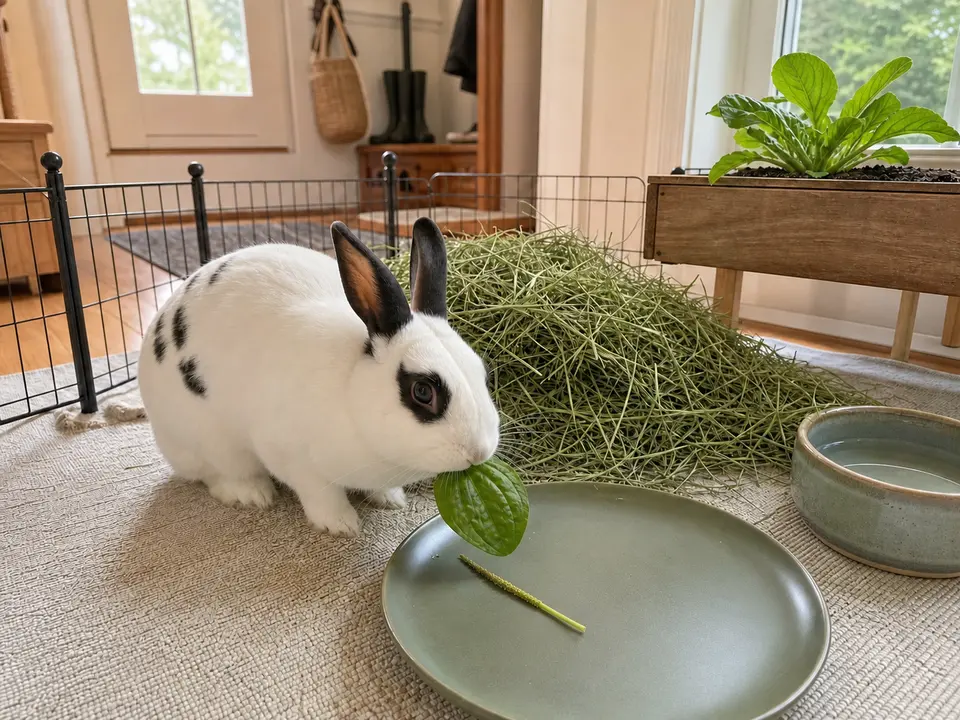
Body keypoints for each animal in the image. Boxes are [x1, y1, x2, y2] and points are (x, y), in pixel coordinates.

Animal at [137, 217, 500, 536]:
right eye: (422, 391)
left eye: (483, 374)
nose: (478, 453)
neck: (352, 395)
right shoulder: (292, 457)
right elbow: (321, 494)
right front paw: (341, 524)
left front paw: (391, 500)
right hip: (211, 443)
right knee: (217, 475)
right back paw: (253, 494)